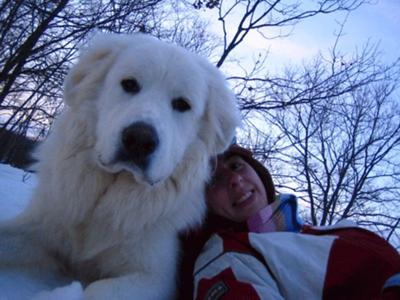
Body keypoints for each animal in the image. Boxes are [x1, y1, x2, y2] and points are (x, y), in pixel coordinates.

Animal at [0, 34, 239, 298]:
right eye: (129, 84)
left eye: (182, 104)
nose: (140, 140)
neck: (108, 195)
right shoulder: (42, 226)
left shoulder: (156, 279)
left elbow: (96, 290)